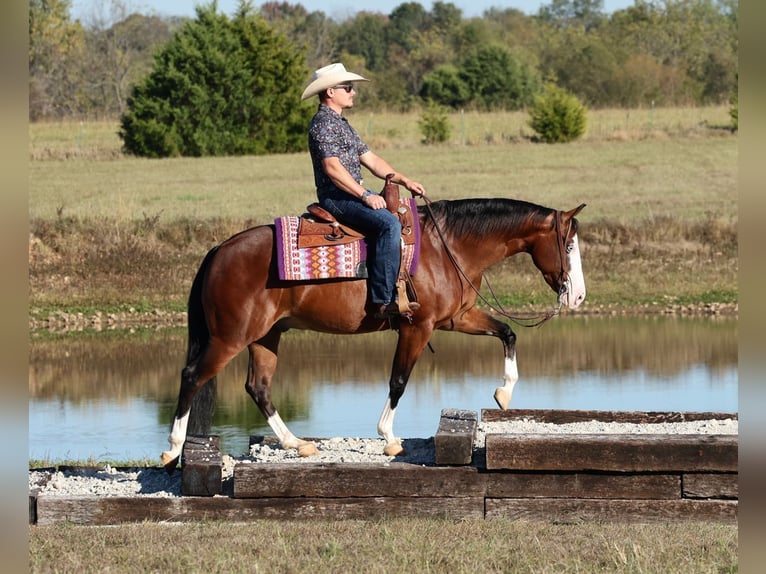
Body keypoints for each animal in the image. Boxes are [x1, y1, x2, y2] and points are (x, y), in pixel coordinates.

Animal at [161, 197, 586, 469]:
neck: (448, 248)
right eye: (568, 245)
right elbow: (398, 380)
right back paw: (172, 451)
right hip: (229, 339)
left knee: (258, 387)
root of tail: (219, 250)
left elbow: (508, 333)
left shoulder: (458, 318)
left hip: (266, 337)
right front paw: (390, 438)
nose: (578, 295)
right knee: (192, 376)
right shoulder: (418, 327)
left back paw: (296, 444)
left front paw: (504, 392)